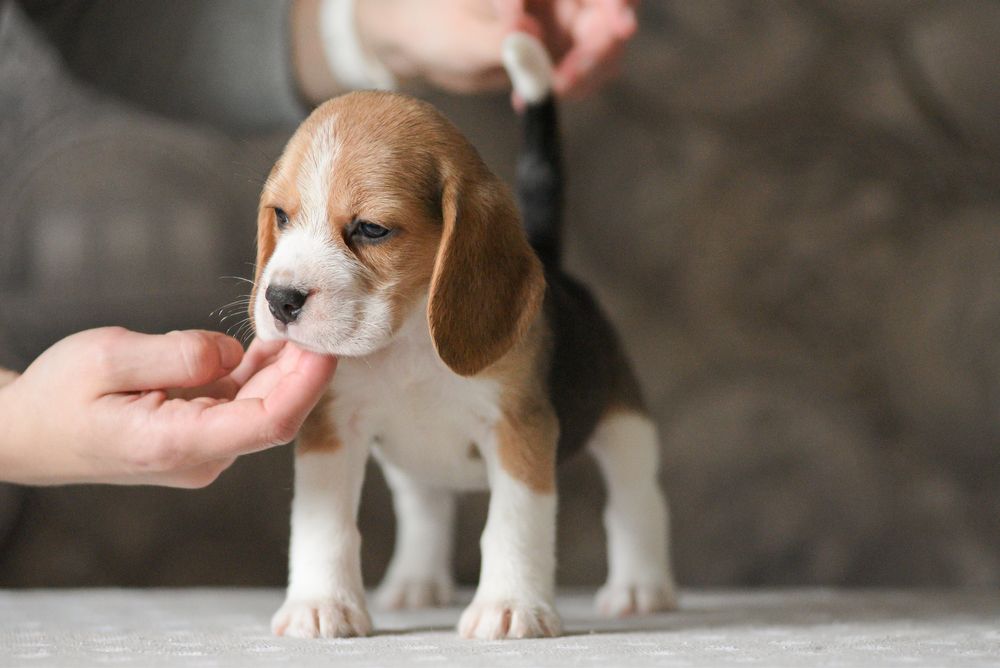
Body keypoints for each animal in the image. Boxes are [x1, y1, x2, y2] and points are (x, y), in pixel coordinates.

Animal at [250, 34, 680, 640]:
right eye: (282, 216)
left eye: (372, 229)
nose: (280, 300)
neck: (408, 341)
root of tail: (549, 259)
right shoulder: (331, 428)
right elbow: (324, 526)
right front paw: (321, 603)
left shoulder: (519, 430)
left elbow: (512, 524)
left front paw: (510, 605)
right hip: (411, 462)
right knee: (426, 511)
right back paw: (415, 582)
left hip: (626, 426)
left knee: (635, 501)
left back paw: (642, 587)